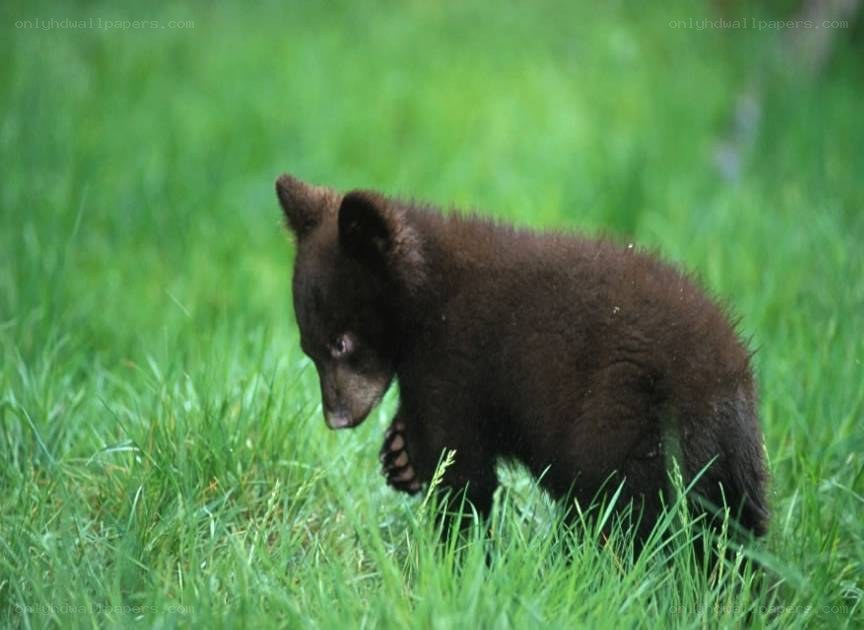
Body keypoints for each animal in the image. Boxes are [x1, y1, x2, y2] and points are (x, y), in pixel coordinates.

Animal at [275, 172, 770, 545]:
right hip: (735, 467)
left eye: (342, 342)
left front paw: (456, 556)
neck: (427, 295)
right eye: (309, 349)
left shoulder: (454, 362)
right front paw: (400, 455)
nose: (336, 418)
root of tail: (728, 385)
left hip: (627, 421)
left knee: (622, 511)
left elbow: (461, 467)